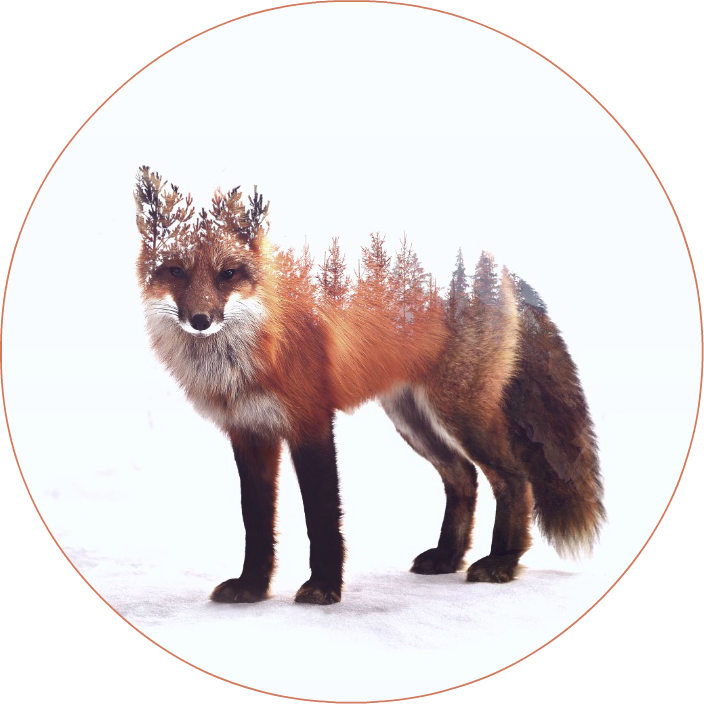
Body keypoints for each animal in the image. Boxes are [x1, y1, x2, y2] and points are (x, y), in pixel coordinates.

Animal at [135, 166, 604, 605]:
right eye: (175, 271)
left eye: (228, 274)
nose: (200, 320)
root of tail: (493, 261)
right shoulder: (249, 432)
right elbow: (256, 521)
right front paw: (252, 587)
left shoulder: (311, 422)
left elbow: (322, 516)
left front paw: (324, 588)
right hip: (413, 419)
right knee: (463, 477)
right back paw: (448, 557)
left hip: (460, 413)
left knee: (514, 479)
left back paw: (502, 562)